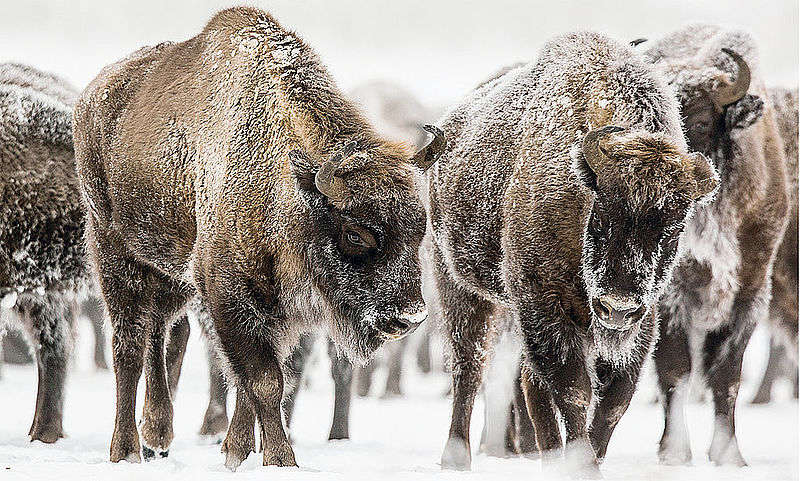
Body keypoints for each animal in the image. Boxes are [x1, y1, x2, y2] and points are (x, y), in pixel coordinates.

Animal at [73, 5, 444, 466]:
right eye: (356, 235)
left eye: (419, 227)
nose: (409, 318)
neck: (286, 182)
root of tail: (94, 94)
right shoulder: (230, 295)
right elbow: (265, 381)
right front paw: (281, 459)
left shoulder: (278, 312)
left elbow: (260, 380)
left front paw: (238, 450)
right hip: (114, 254)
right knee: (128, 346)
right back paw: (126, 450)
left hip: (169, 272)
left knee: (160, 332)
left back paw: (157, 432)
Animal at [424, 31, 720, 474]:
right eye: (602, 214)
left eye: (675, 225)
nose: (617, 307)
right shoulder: (545, 306)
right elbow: (573, 391)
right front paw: (580, 463)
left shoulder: (643, 321)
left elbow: (613, 401)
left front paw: (587, 460)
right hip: (459, 288)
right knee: (468, 367)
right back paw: (456, 458)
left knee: (527, 384)